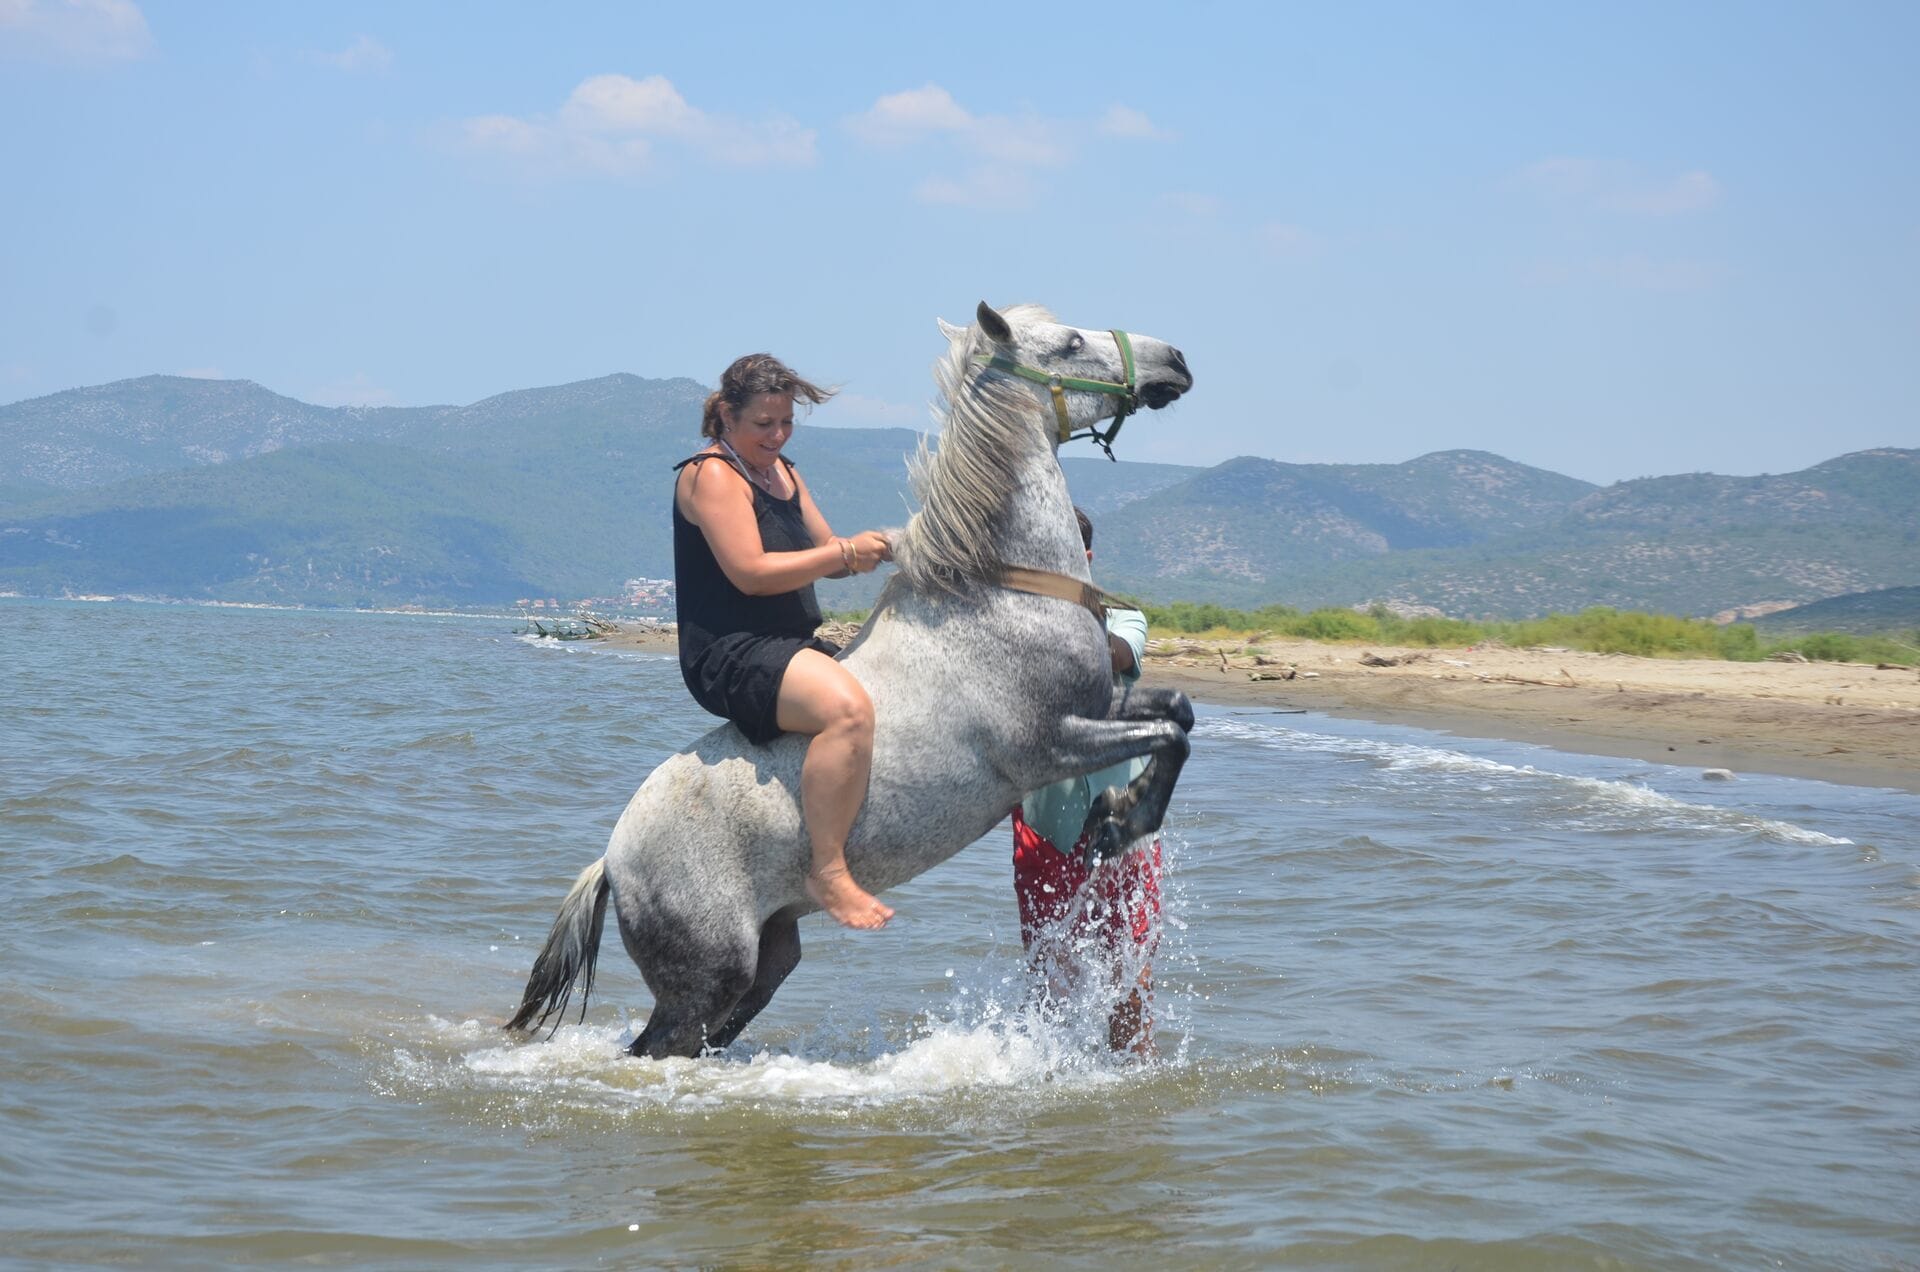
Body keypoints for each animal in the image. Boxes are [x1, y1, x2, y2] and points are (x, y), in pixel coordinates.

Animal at [507, 301, 1196, 1059]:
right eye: (1070, 343)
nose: (1175, 361)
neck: (1000, 590)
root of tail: (611, 860)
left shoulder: (1101, 703)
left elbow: (1178, 712)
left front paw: (1117, 811)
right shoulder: (1050, 746)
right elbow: (1169, 736)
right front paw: (1119, 819)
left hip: (765, 961)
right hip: (706, 981)